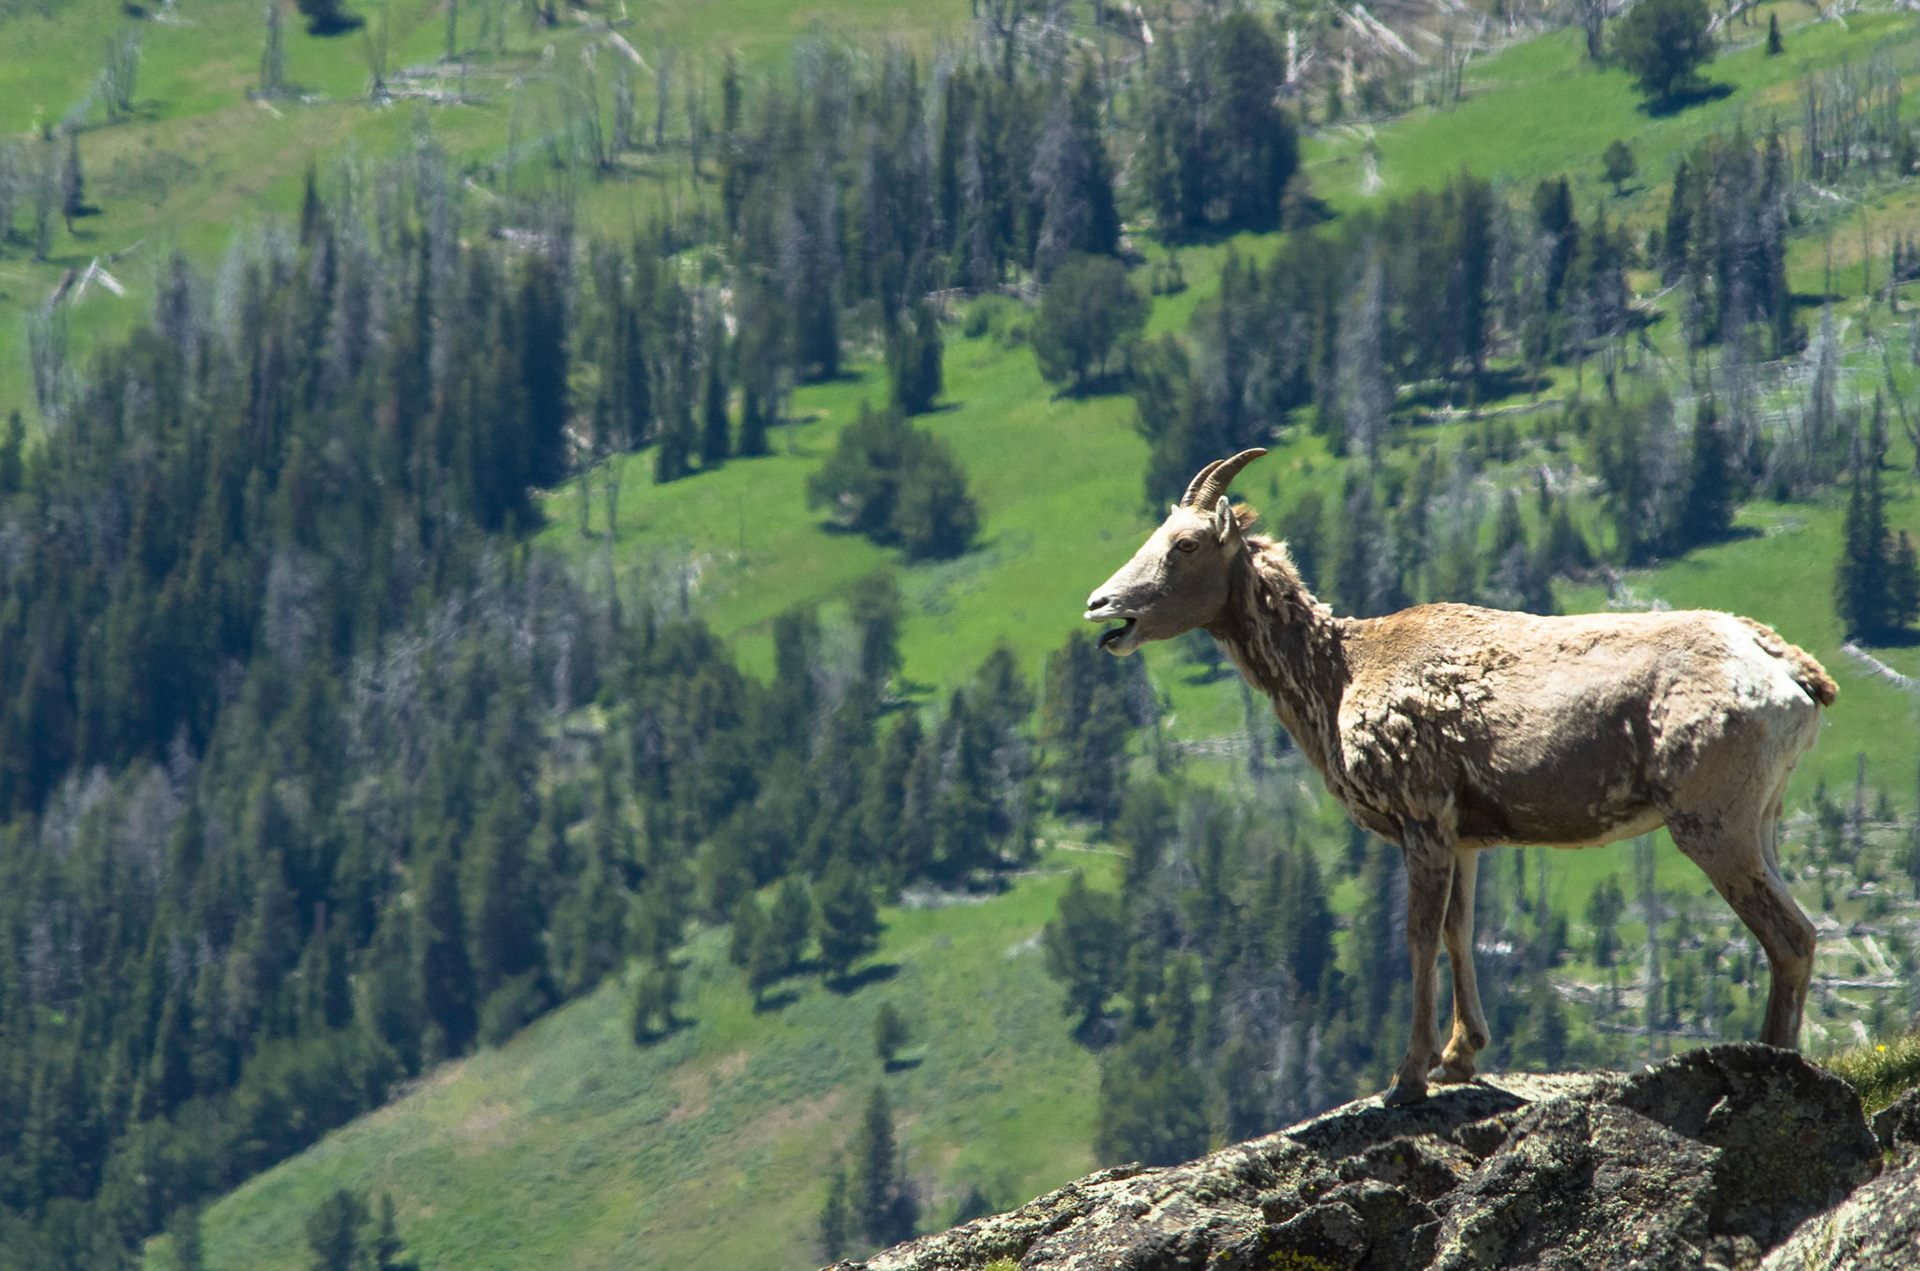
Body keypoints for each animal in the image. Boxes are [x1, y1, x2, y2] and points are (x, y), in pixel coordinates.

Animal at [1084, 449, 1836, 1106]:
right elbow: (1458, 930)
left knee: (1791, 936)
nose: (1100, 605)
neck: (1338, 677)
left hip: (1711, 820)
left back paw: (1772, 1063)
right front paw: (1460, 1057)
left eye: (1185, 545)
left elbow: (1418, 938)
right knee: (1798, 930)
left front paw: (1409, 1076)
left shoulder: (1422, 816)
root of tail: (1793, 677)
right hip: (1762, 819)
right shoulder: (1467, 835)